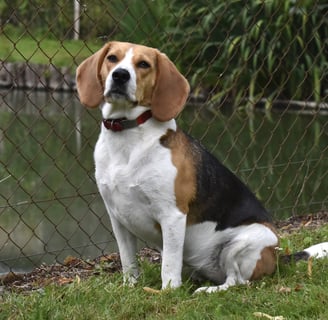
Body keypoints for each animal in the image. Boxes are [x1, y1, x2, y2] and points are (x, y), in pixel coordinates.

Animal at [75, 42, 326, 292]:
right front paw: (130, 287)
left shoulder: (172, 215)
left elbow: (169, 266)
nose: (120, 75)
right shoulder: (117, 217)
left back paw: (208, 290)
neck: (128, 135)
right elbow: (128, 261)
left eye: (144, 64)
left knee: (236, 281)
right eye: (112, 58)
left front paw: (168, 293)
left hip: (242, 243)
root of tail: (277, 257)